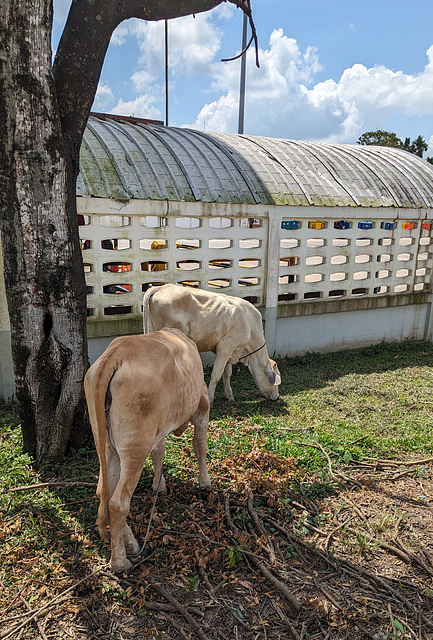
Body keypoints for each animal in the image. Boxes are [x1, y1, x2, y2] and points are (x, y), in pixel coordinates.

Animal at [84, 328, 209, 572]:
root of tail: (116, 354)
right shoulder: (202, 405)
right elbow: (200, 446)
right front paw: (205, 483)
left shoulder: (159, 430)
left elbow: (159, 453)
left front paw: (159, 486)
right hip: (135, 446)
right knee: (118, 502)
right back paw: (121, 562)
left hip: (106, 442)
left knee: (105, 492)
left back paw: (130, 543)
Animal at [143, 284, 282, 404]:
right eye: (275, 383)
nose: (277, 397)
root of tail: (162, 287)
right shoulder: (226, 346)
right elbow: (216, 375)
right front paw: (210, 399)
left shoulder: (227, 349)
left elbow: (227, 373)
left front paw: (229, 395)